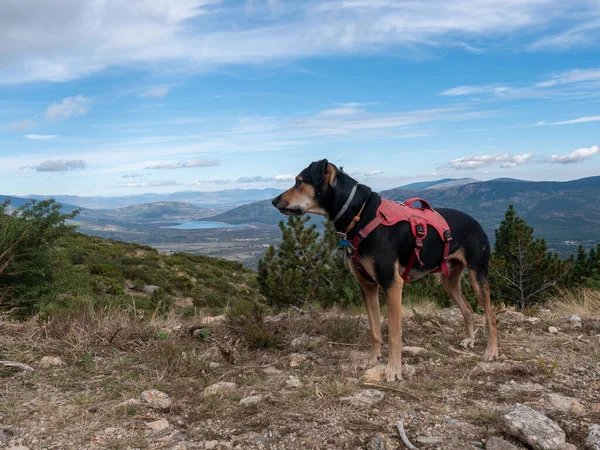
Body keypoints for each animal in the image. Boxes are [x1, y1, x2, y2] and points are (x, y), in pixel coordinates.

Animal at [274, 160, 500, 382]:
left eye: (299, 181)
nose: (274, 201)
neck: (360, 215)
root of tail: (476, 222)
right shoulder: (367, 286)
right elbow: (375, 331)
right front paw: (373, 361)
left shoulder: (392, 284)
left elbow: (393, 335)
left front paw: (393, 371)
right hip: (450, 281)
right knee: (467, 309)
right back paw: (469, 340)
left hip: (477, 275)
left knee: (490, 315)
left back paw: (491, 352)